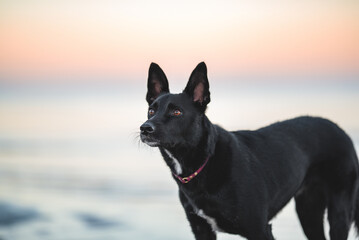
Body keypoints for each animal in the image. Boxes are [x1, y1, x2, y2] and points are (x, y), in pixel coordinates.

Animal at [140, 62, 359, 240]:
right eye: (151, 110)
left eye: (177, 112)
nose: (145, 128)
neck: (204, 161)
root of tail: (341, 131)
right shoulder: (201, 229)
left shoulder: (259, 230)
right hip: (309, 211)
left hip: (339, 211)